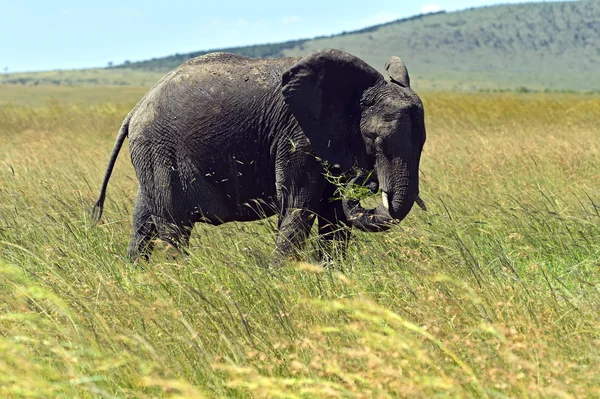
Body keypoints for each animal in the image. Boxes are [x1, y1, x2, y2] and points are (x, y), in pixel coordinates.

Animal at [94, 49, 426, 262]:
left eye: (422, 143)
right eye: (376, 141)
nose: (366, 183)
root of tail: (134, 110)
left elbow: (334, 216)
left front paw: (332, 275)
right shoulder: (297, 136)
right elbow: (296, 203)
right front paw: (280, 276)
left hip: (151, 155)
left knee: (143, 222)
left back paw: (137, 275)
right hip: (160, 151)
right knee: (173, 226)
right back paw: (183, 276)